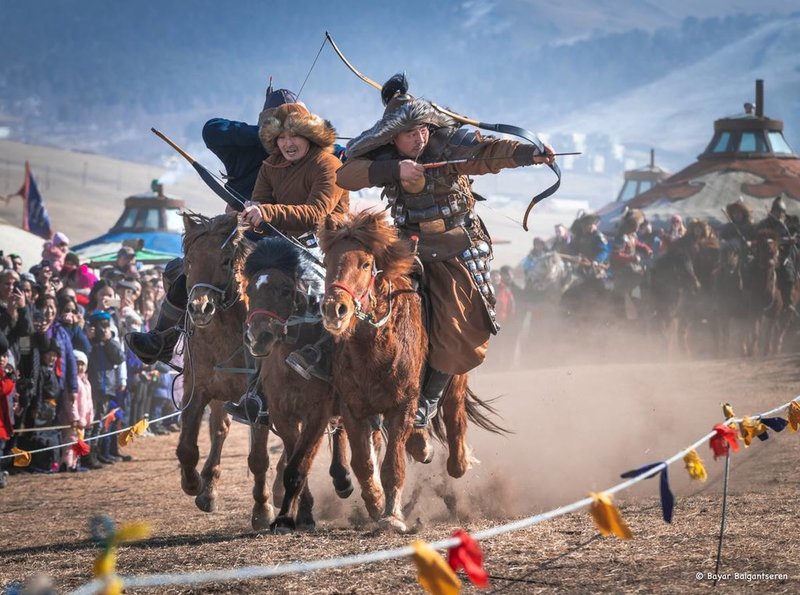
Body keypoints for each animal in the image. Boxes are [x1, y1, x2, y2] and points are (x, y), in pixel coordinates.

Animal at [176, 212, 276, 528]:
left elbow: (259, 458)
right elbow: (187, 447)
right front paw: (194, 484)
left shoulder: (259, 402)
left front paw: (263, 509)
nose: (200, 309)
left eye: (224, 260)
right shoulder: (197, 390)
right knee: (220, 430)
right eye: (189, 259)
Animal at [236, 235, 352, 532]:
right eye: (249, 290)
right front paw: (300, 514)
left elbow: (298, 465)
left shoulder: (316, 415)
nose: (258, 338)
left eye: (286, 290)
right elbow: (294, 462)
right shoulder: (283, 415)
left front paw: (288, 516)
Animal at [318, 211, 500, 536]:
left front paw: (392, 516)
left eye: (365, 263)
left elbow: (392, 466)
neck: (374, 345)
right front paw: (376, 503)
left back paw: (455, 457)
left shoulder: (401, 407)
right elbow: (363, 463)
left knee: (454, 419)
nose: (334, 309)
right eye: (327, 261)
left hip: (457, 365)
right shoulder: (353, 409)